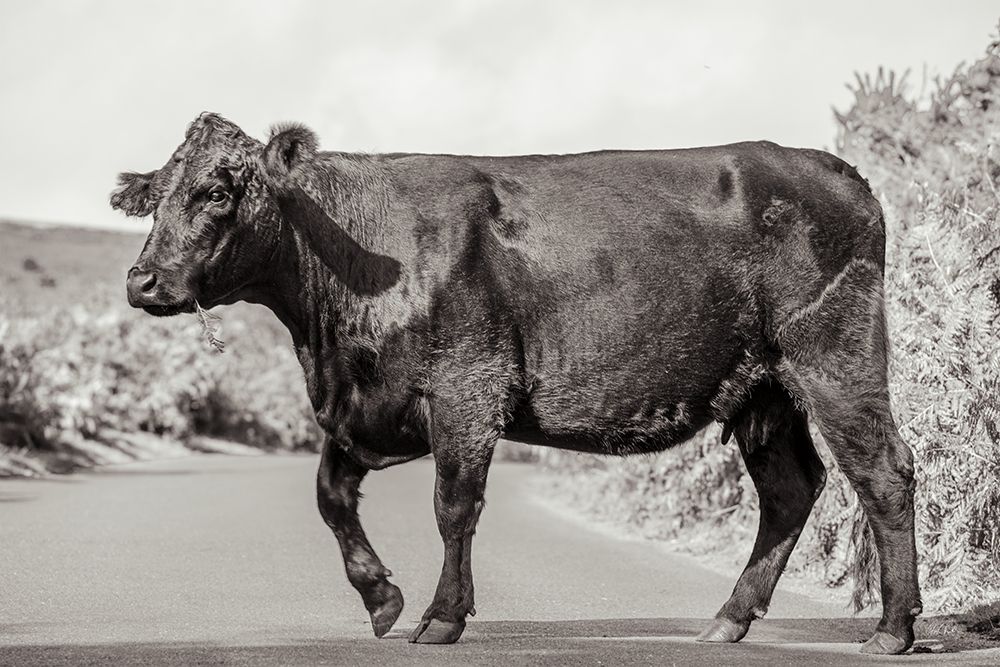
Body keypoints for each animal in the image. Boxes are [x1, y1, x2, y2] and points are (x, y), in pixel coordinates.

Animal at [112, 112, 920, 654]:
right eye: (159, 194)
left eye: (219, 191)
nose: (141, 280)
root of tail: (838, 171)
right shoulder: (371, 407)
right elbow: (330, 494)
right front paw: (380, 596)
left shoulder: (466, 389)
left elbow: (453, 506)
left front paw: (441, 615)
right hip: (764, 390)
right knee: (790, 489)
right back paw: (729, 618)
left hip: (834, 356)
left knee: (884, 471)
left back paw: (894, 626)